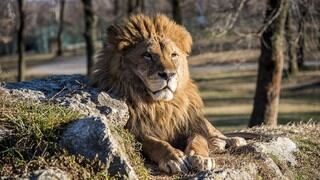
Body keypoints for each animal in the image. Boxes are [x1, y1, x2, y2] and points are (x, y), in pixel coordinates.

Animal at [91, 13, 246, 174]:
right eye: (148, 55)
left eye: (173, 55)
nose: (168, 75)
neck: (161, 105)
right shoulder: (135, 131)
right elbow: (154, 143)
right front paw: (174, 158)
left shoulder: (189, 124)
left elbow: (199, 139)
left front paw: (202, 158)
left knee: (215, 132)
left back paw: (234, 140)